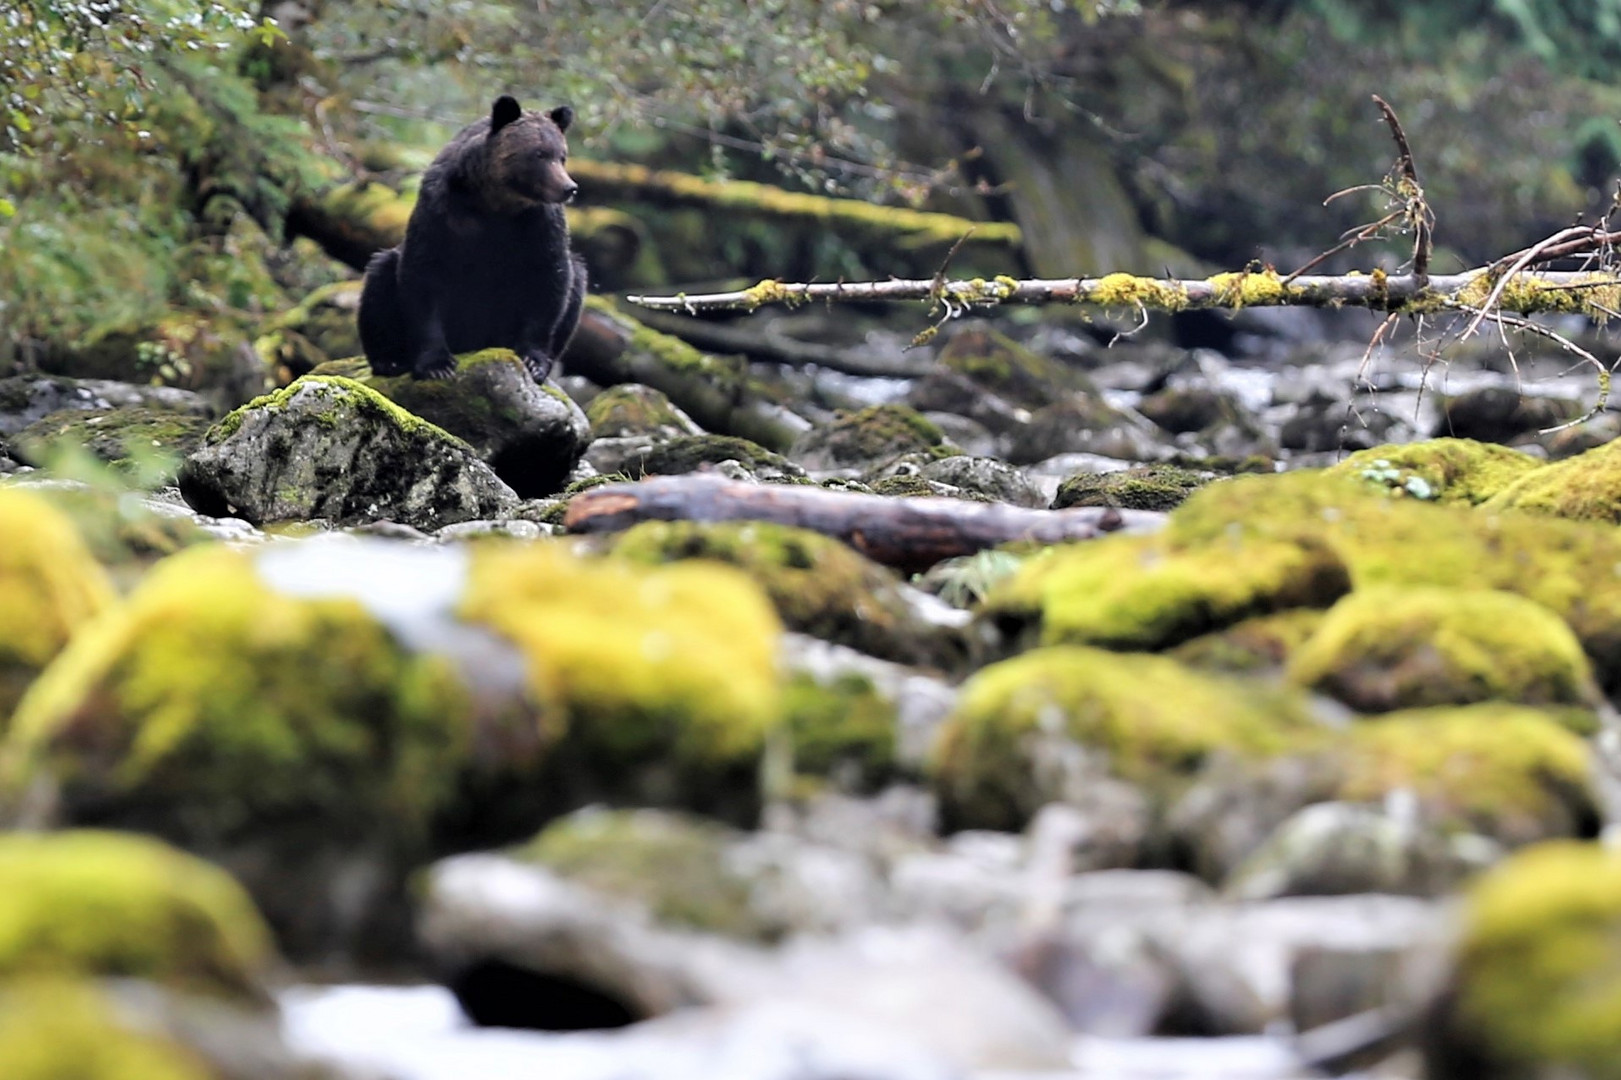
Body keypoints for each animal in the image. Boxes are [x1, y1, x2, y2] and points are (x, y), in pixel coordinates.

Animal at [358, 94, 586, 382]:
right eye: (539, 154)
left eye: (562, 156)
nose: (569, 187)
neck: (495, 201)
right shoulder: (441, 213)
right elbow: (422, 276)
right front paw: (437, 365)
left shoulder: (539, 224)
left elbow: (552, 280)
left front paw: (534, 361)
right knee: (380, 279)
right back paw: (390, 360)